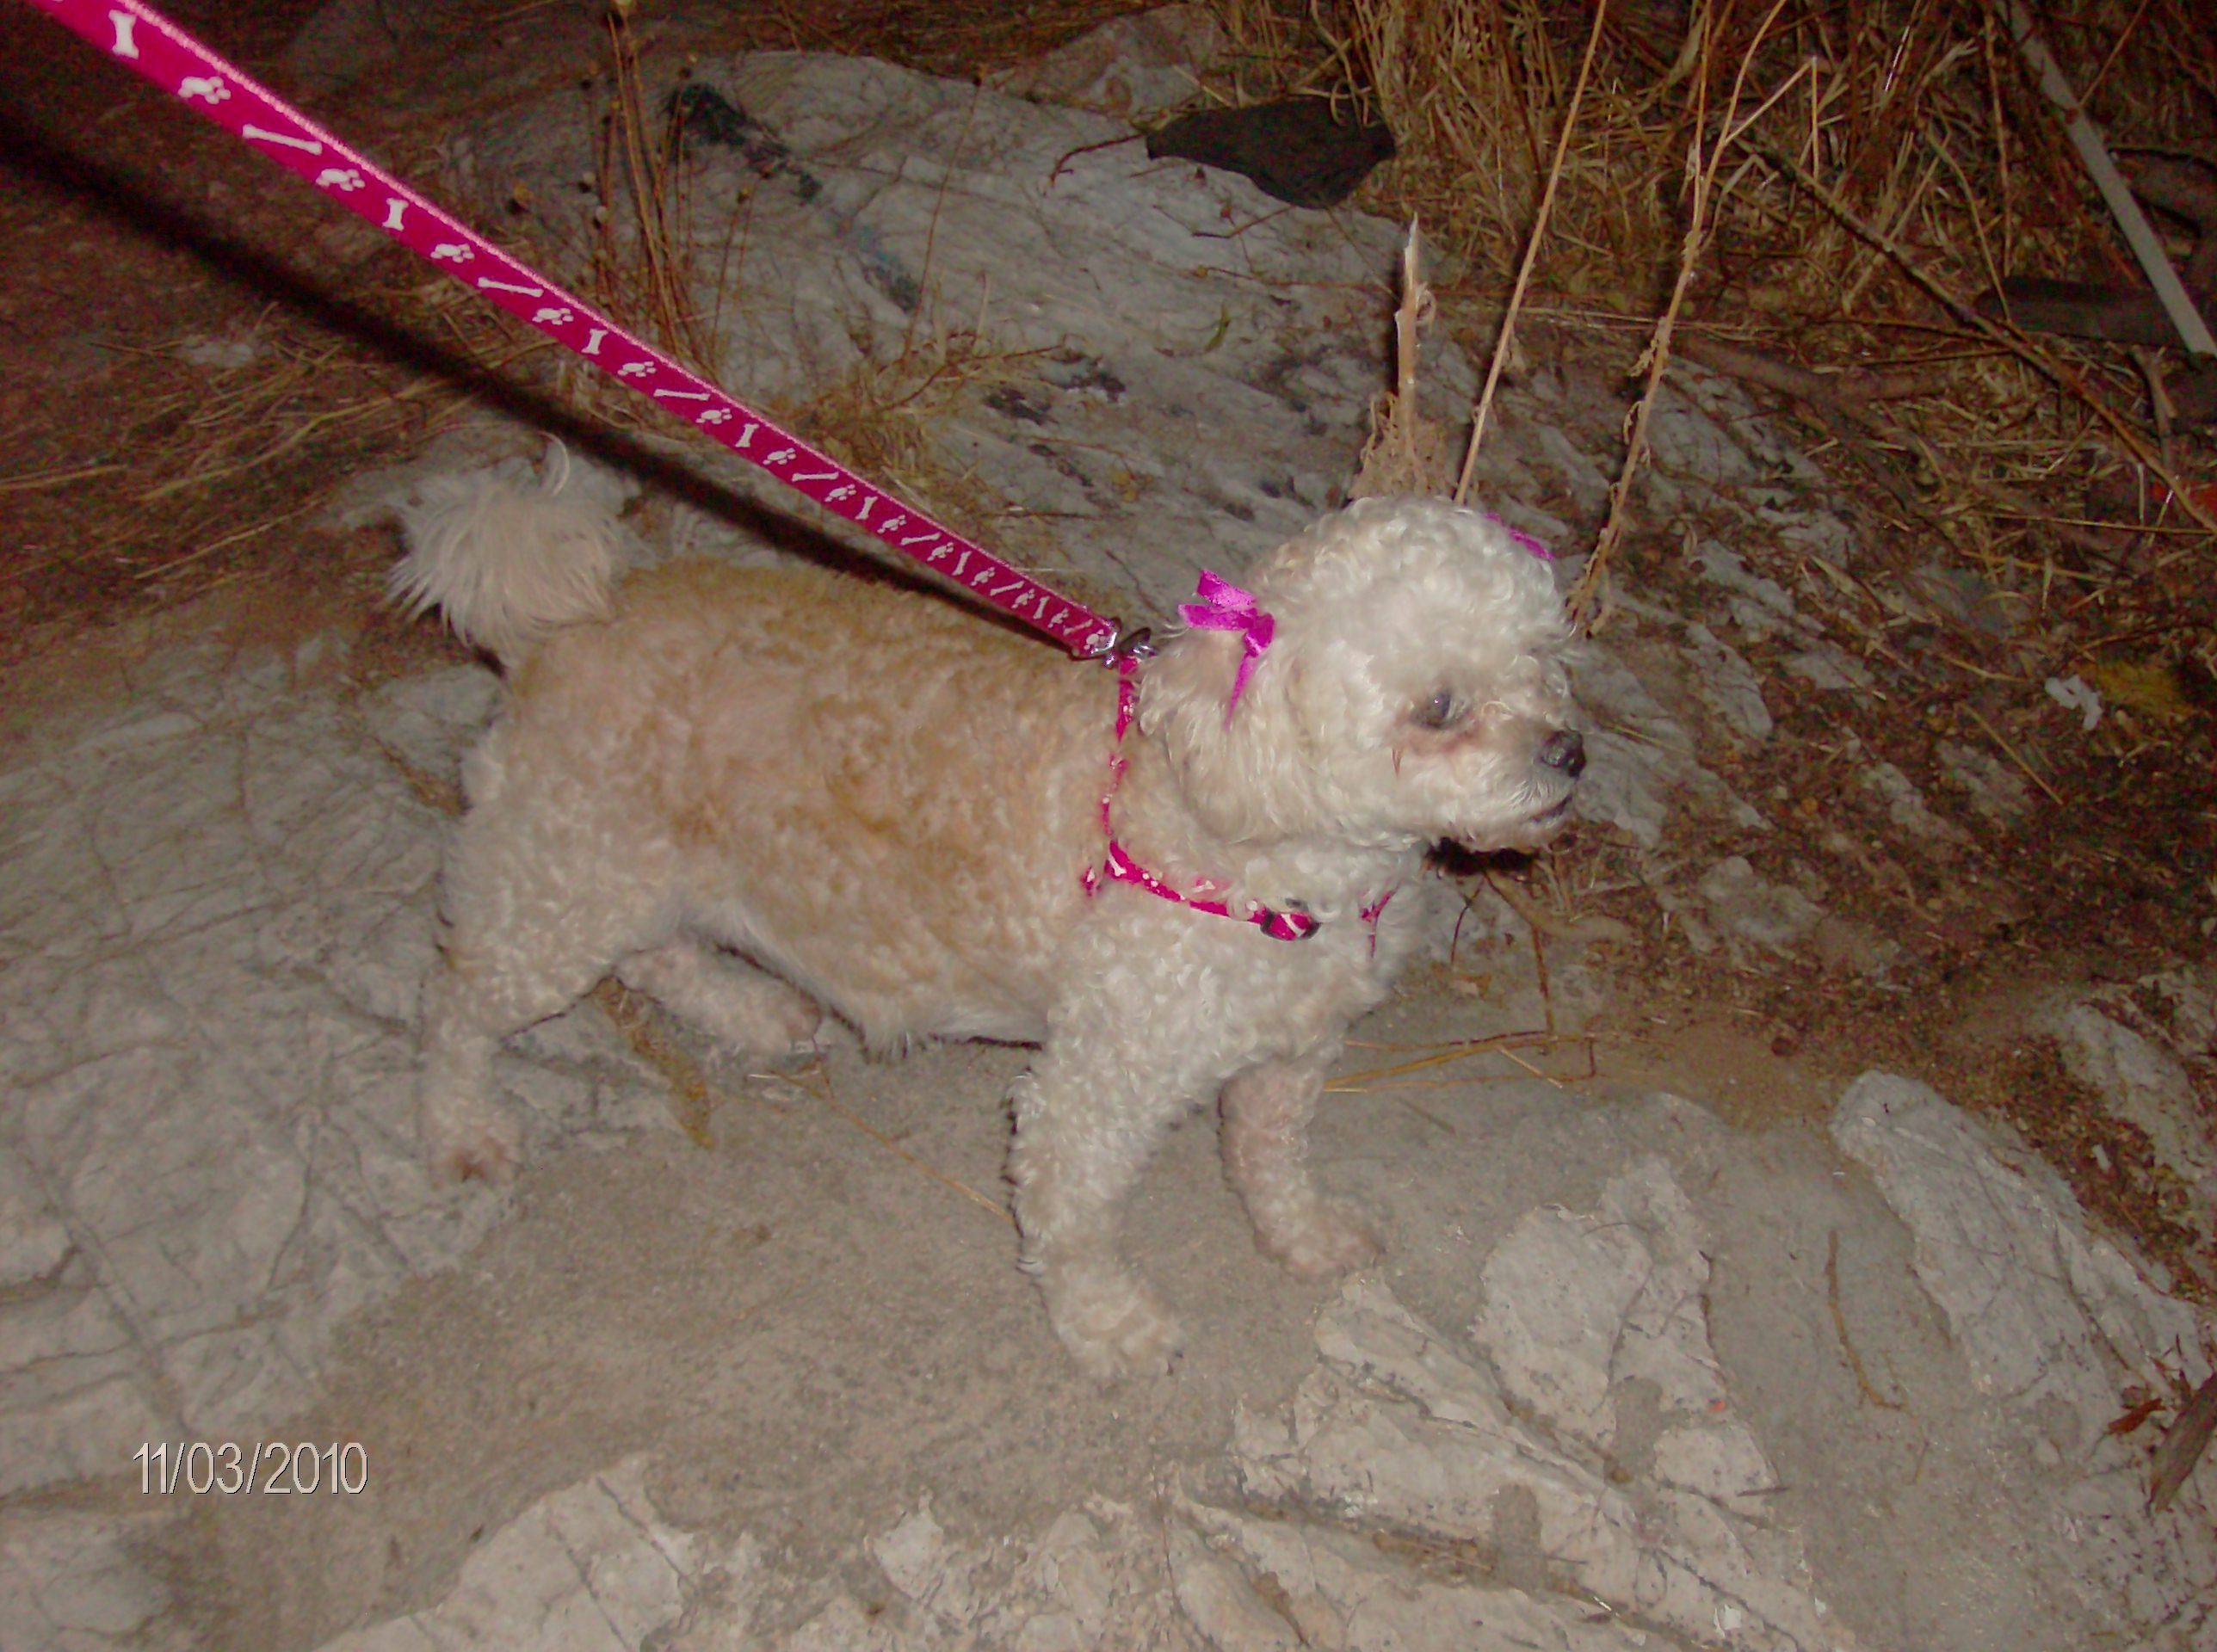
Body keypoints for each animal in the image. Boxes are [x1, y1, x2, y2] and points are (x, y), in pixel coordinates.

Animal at [392, 450, 1583, 1379]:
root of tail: (561, 622)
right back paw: (461, 1129)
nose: (1570, 755)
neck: (1250, 839)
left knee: (655, 959)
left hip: (627, 879)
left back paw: (749, 1012)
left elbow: (1270, 1162)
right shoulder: (1094, 1090)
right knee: (455, 1004)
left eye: (1537, 659)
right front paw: (1110, 1327)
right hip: (562, 892)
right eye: (1437, 708)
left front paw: (1305, 1236)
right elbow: (1075, 1220)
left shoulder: (1286, 1060)